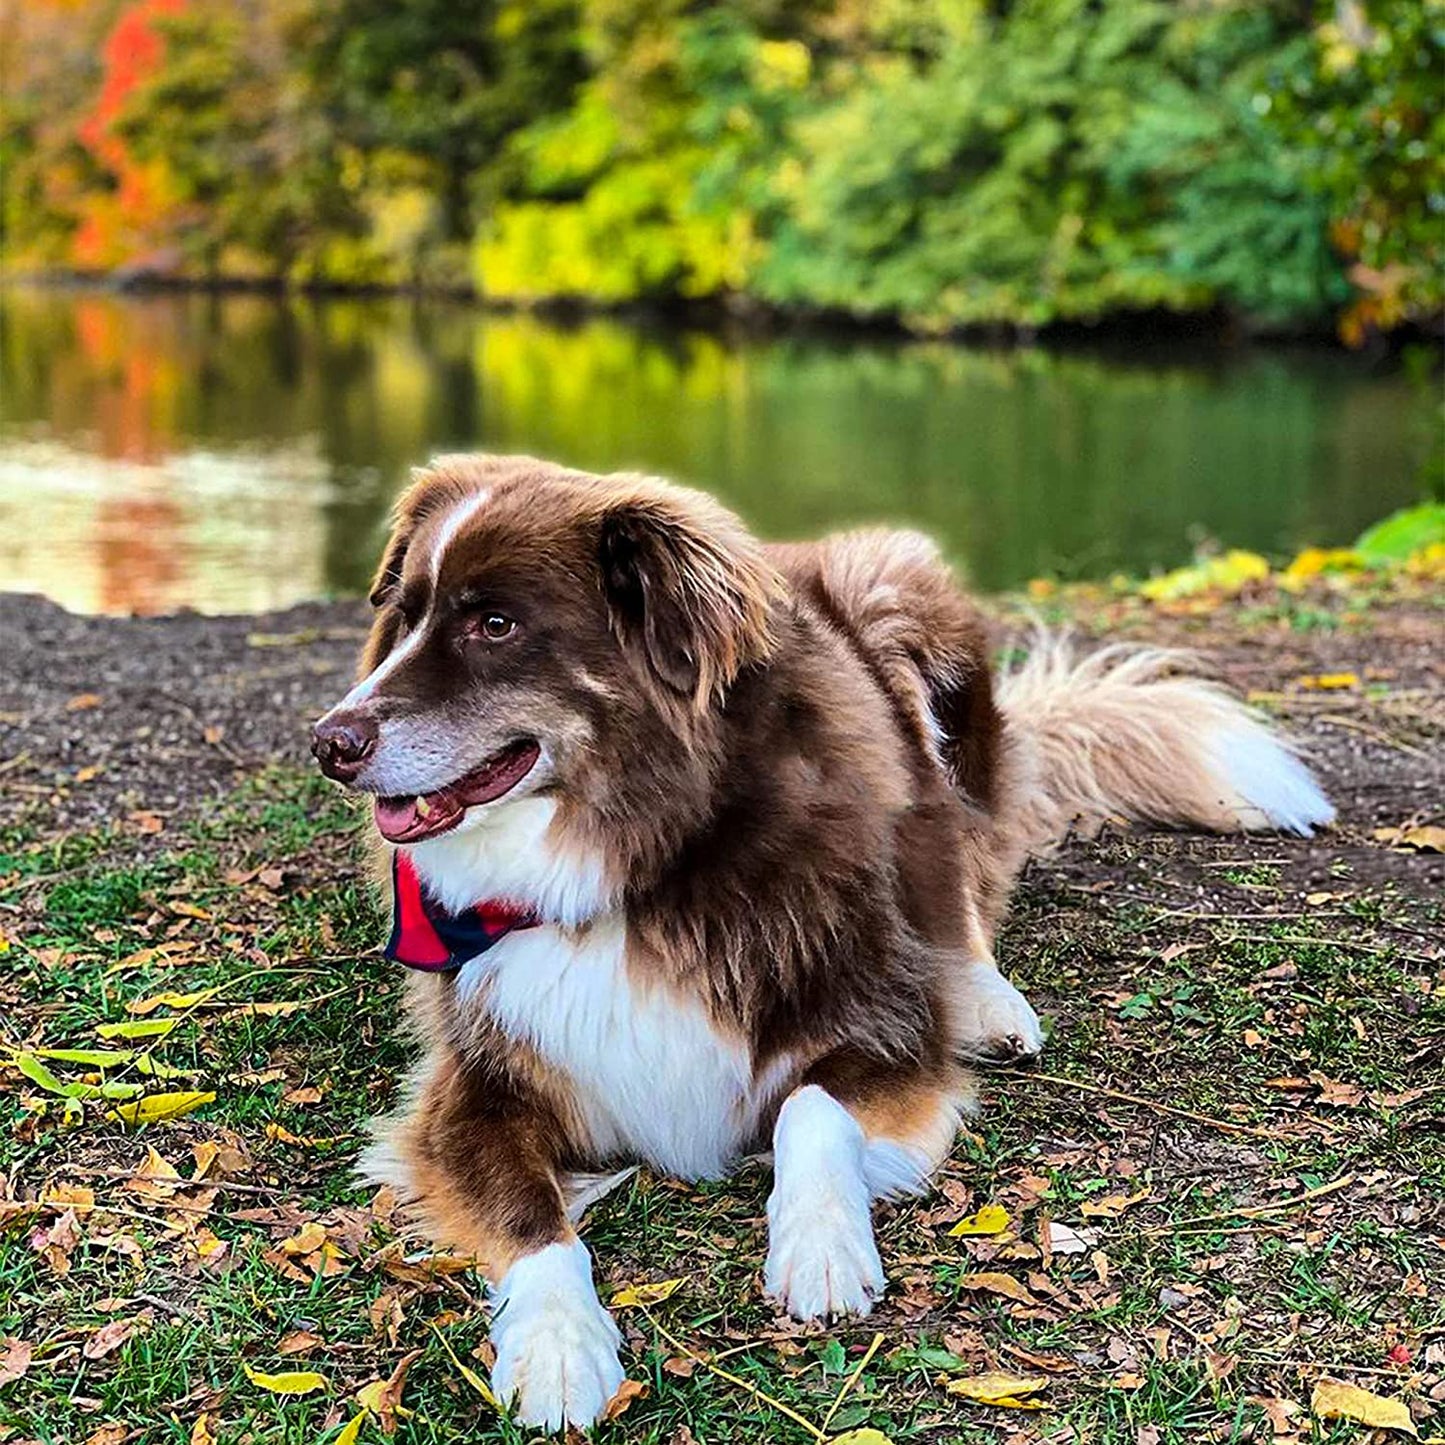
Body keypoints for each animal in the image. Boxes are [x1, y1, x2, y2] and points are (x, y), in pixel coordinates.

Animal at [313, 453, 1329, 1433]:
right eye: (401, 616)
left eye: (495, 623)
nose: (329, 741)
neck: (643, 861)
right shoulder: (475, 1087)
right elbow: (533, 1222)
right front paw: (558, 1348)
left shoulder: (883, 1020)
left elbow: (810, 1105)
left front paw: (820, 1245)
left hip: (906, 618)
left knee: (957, 872)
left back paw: (988, 1000)